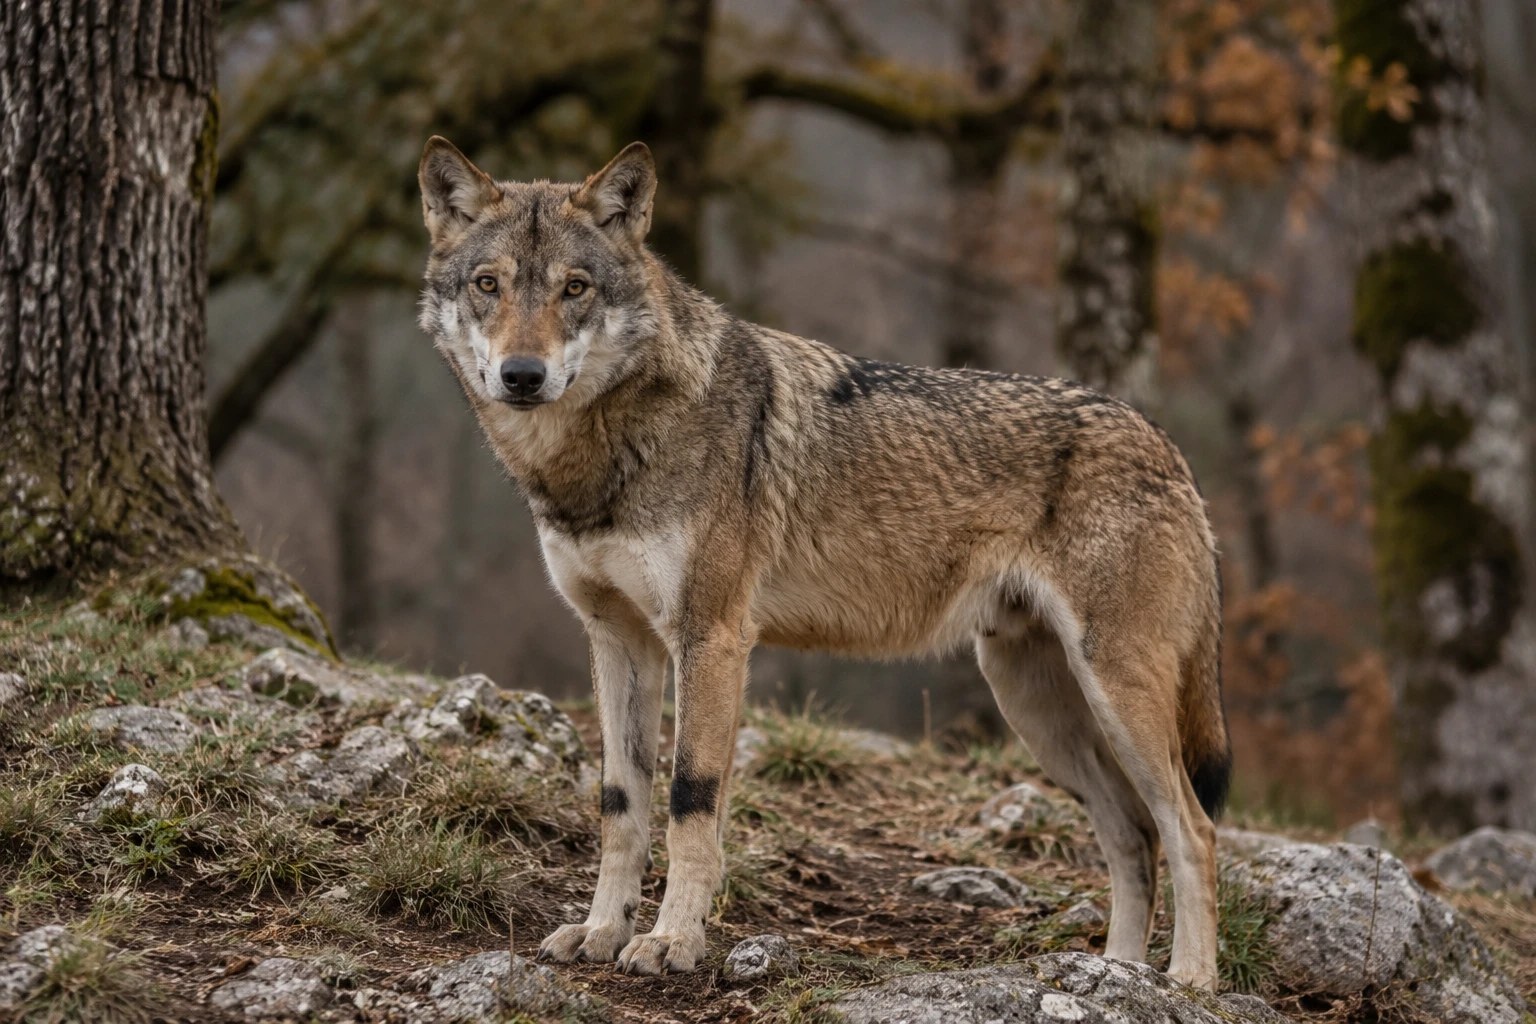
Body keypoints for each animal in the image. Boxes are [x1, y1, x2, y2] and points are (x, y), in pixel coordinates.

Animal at [416, 138, 1231, 989]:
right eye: (488, 285)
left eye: (574, 288)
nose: (522, 375)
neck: (600, 456)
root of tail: (1167, 445)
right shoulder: (618, 641)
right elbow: (621, 805)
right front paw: (603, 931)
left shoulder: (712, 640)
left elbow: (690, 803)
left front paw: (673, 942)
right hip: (1038, 707)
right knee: (1133, 836)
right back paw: (1119, 977)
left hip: (1112, 694)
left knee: (1192, 829)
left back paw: (1188, 983)